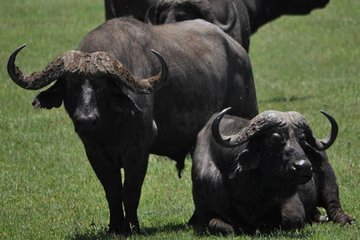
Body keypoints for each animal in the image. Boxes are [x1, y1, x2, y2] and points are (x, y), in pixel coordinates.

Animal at [6, 18, 258, 234]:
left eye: (102, 88)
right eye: (71, 87)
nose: (86, 119)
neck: (110, 126)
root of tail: (238, 52)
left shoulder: (138, 151)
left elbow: (130, 191)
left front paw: (133, 227)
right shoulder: (94, 152)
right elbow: (112, 191)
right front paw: (115, 227)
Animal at [191, 108, 354, 234]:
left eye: (302, 139)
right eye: (275, 138)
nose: (305, 167)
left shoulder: (291, 200)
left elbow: (291, 219)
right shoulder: (206, 213)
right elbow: (221, 226)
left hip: (329, 180)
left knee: (334, 205)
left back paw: (344, 220)